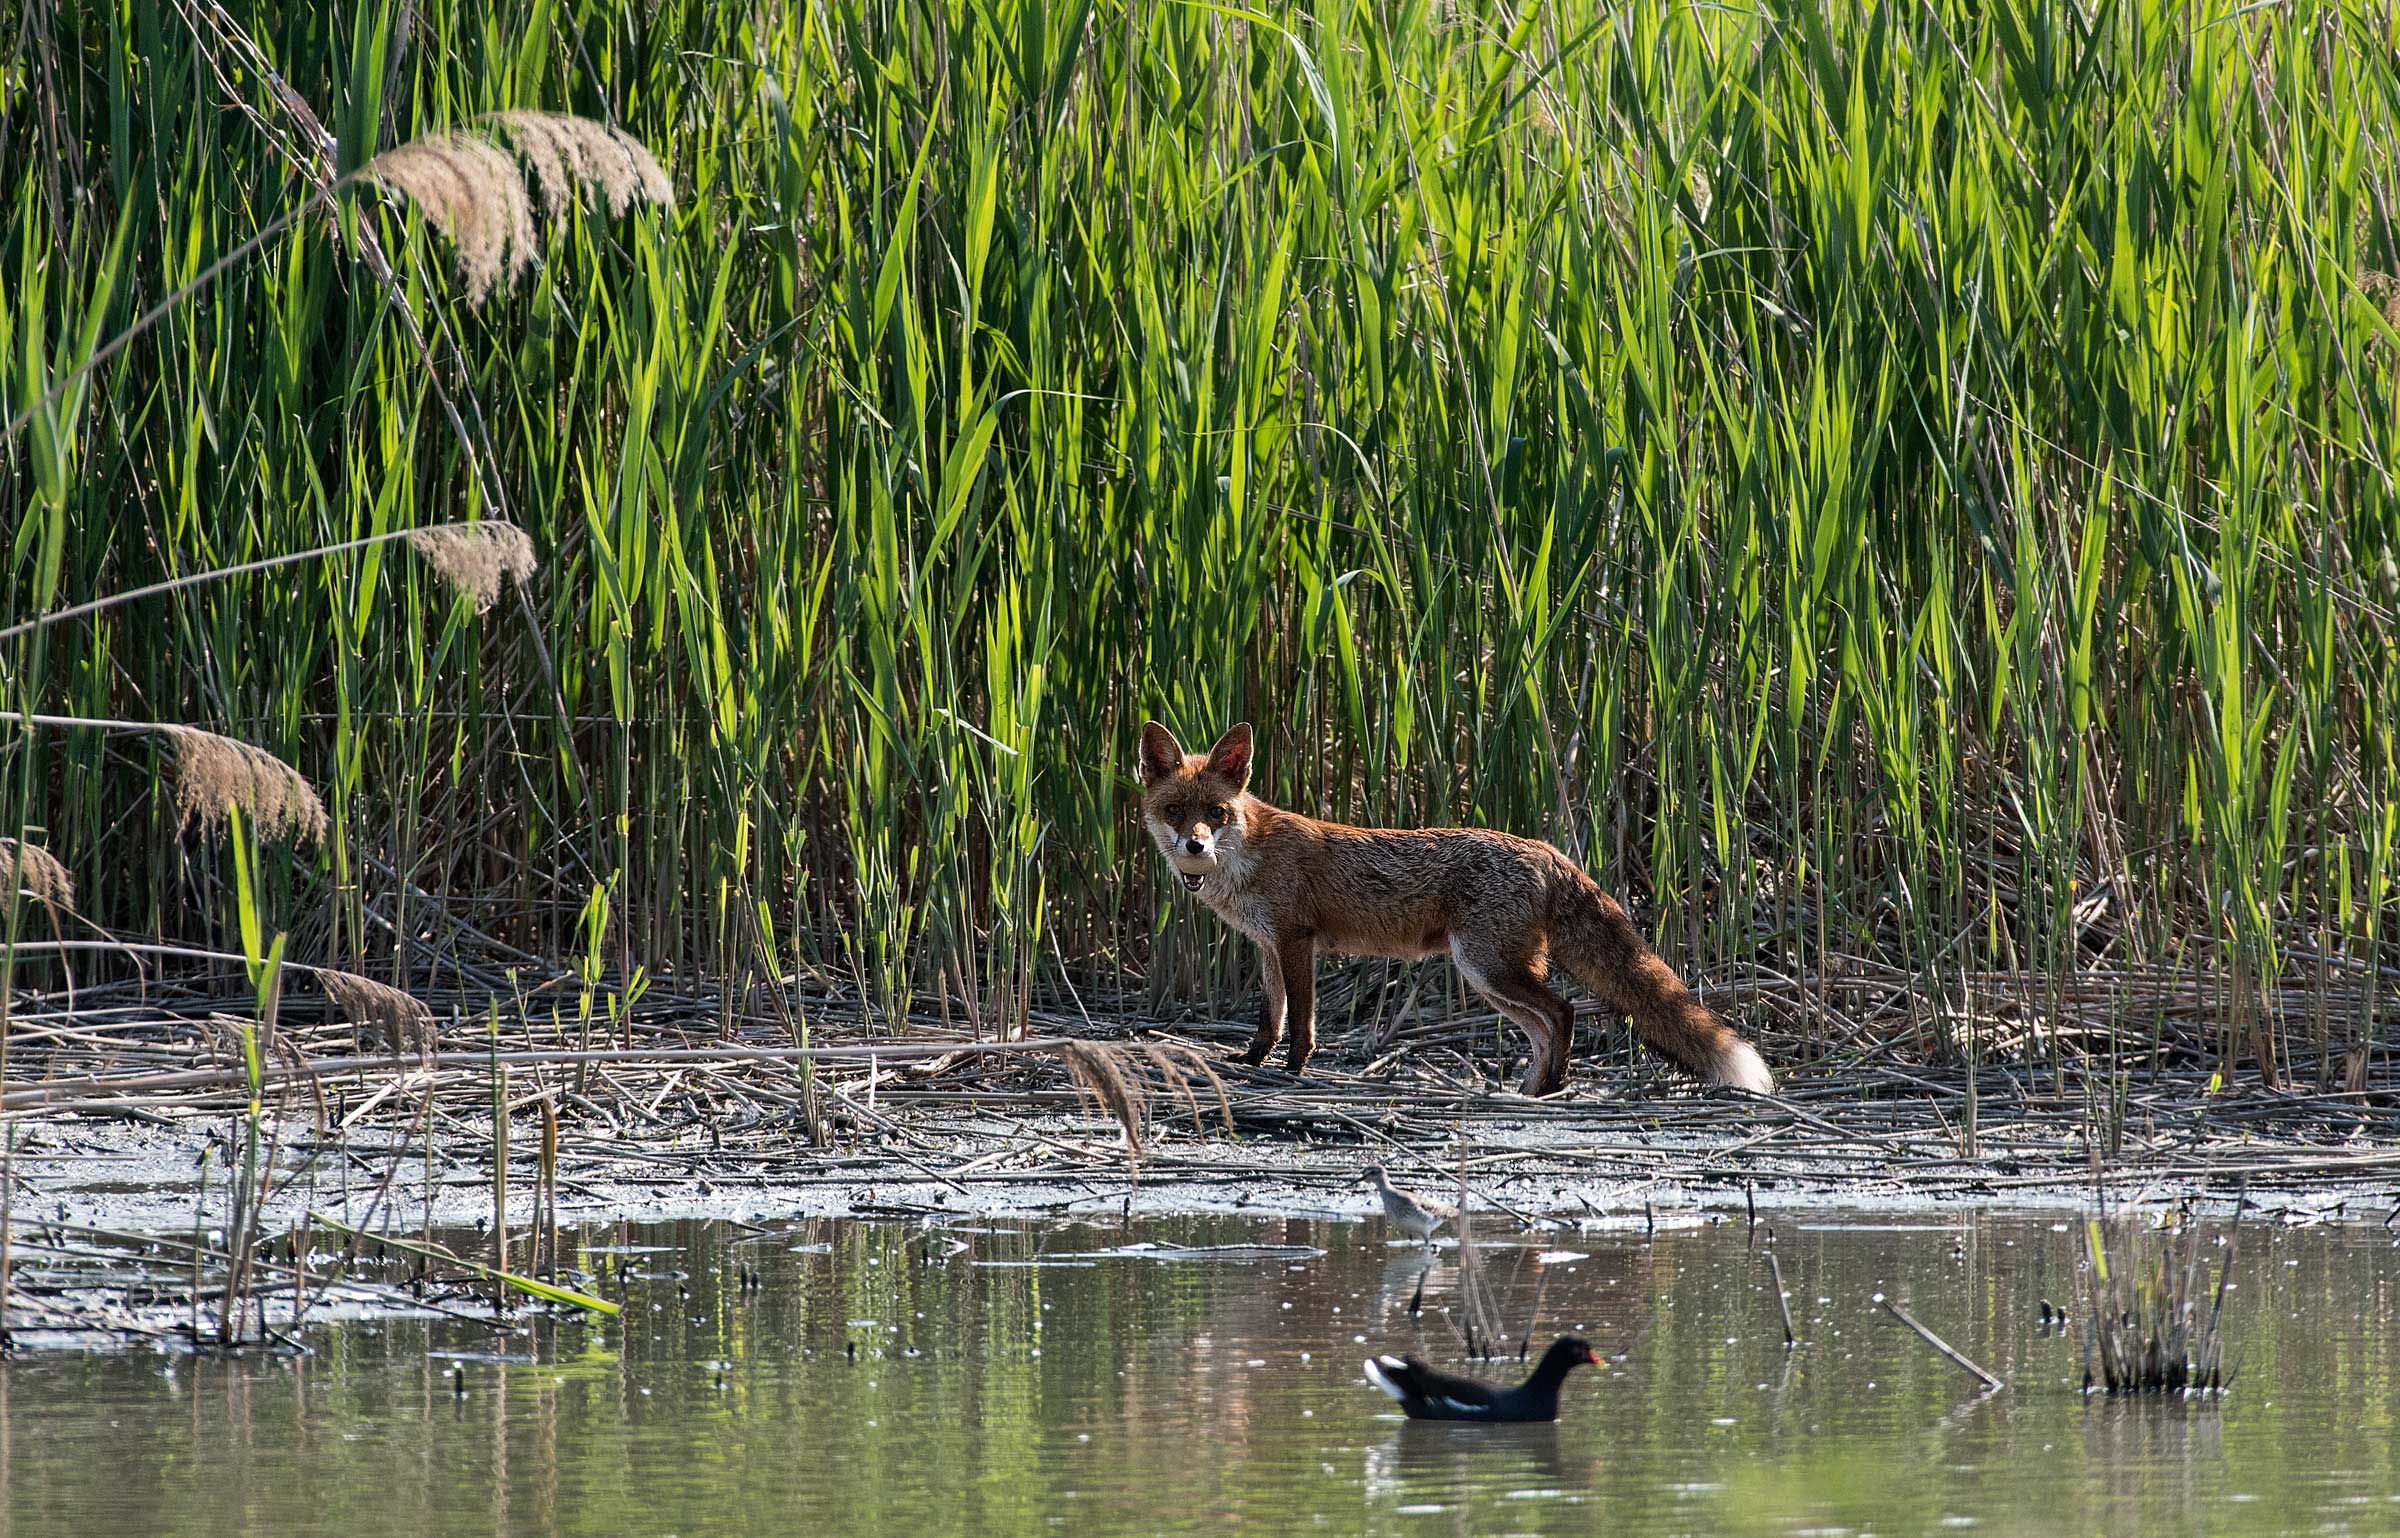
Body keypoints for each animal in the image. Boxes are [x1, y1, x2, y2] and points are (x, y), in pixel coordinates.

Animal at [1136, 721, 1774, 1099]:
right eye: (1175, 811)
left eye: (1215, 813)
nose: (1194, 847)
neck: (1249, 856)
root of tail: (1543, 848)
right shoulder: (1269, 945)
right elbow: (1270, 1017)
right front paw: (1251, 1060)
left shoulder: (1297, 940)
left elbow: (1302, 1023)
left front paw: (1294, 1073)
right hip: (1486, 977)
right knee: (1543, 1028)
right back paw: (1530, 1090)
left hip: (1489, 966)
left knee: (1564, 1011)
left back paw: (1552, 1086)